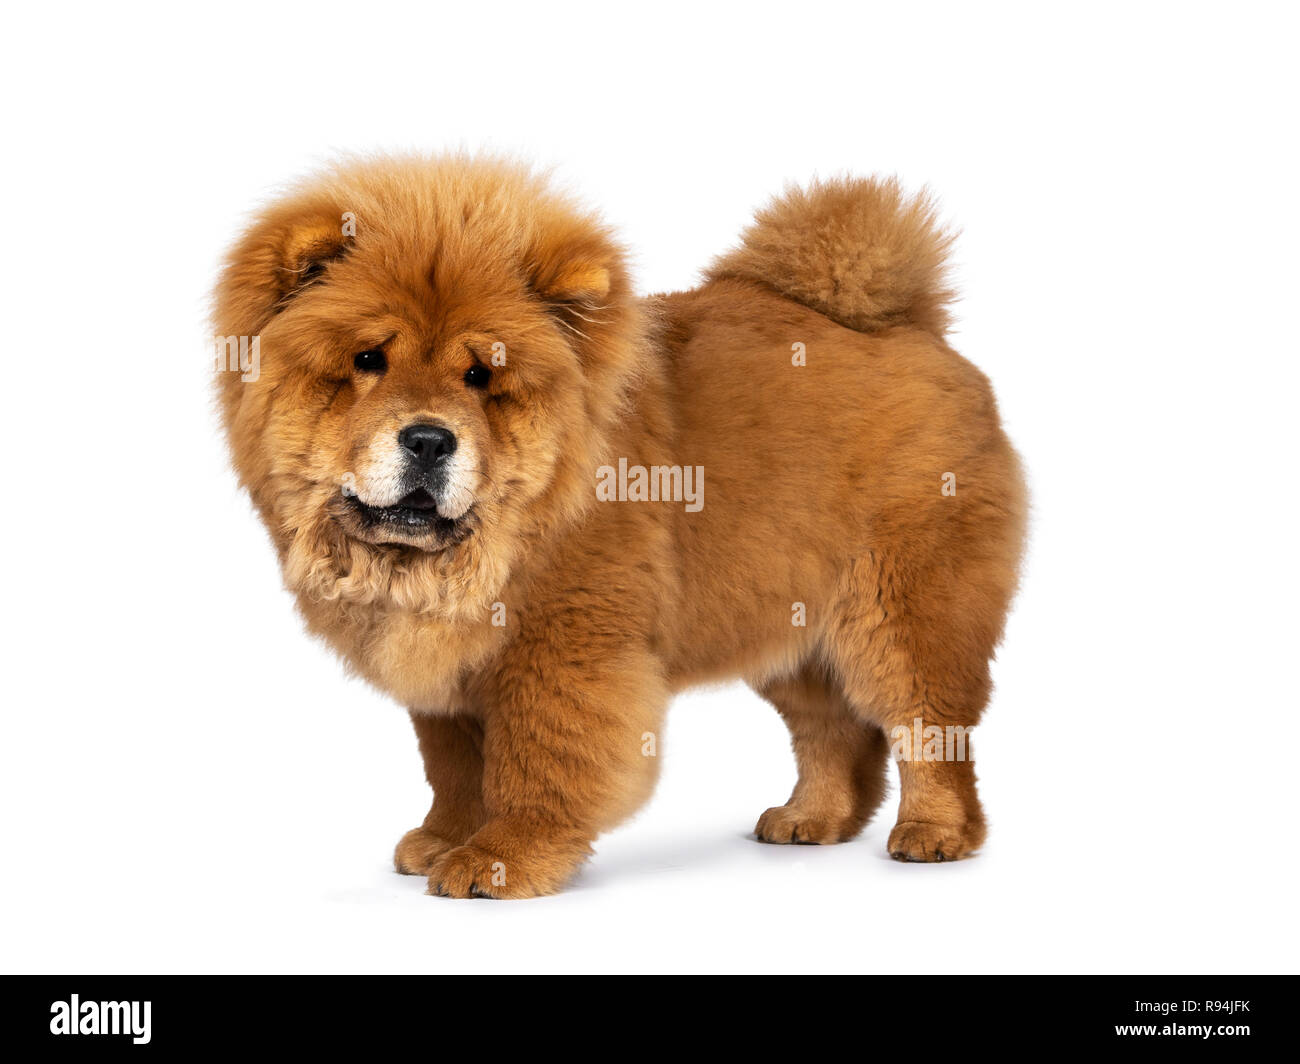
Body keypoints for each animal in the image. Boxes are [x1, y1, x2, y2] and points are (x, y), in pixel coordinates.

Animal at [213, 155, 1024, 894]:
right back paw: (809, 820)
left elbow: (535, 761)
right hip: (789, 621)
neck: (487, 551)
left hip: (905, 611)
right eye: (367, 360)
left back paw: (934, 834)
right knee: (833, 731)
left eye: (481, 377)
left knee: (928, 725)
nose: (430, 439)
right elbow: (453, 768)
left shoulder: (564, 646)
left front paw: (498, 860)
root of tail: (916, 331)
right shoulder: (447, 667)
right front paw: (443, 840)